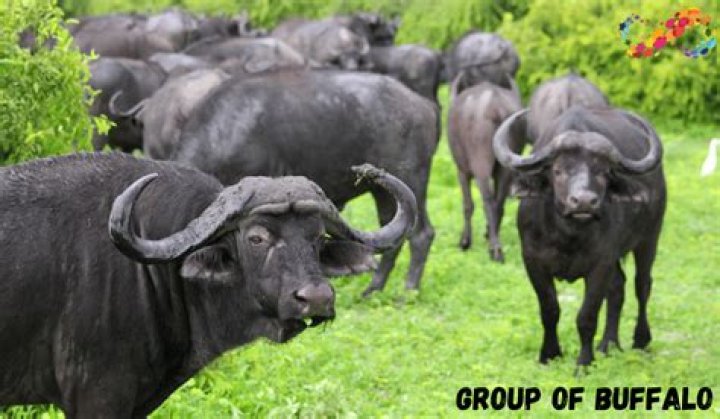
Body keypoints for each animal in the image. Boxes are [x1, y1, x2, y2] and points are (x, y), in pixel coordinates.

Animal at [170, 70, 438, 296]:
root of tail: (422, 106)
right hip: (383, 191)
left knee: (420, 234)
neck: (225, 132)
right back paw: (373, 289)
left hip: (412, 180)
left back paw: (408, 291)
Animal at [493, 106, 665, 370]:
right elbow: (549, 309)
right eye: (558, 170)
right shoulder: (533, 262)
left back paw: (640, 340)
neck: (568, 235)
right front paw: (549, 354)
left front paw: (584, 363)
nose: (584, 201)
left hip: (649, 239)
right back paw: (608, 344)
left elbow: (587, 316)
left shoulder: (600, 264)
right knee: (618, 287)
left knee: (642, 285)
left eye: (604, 172)